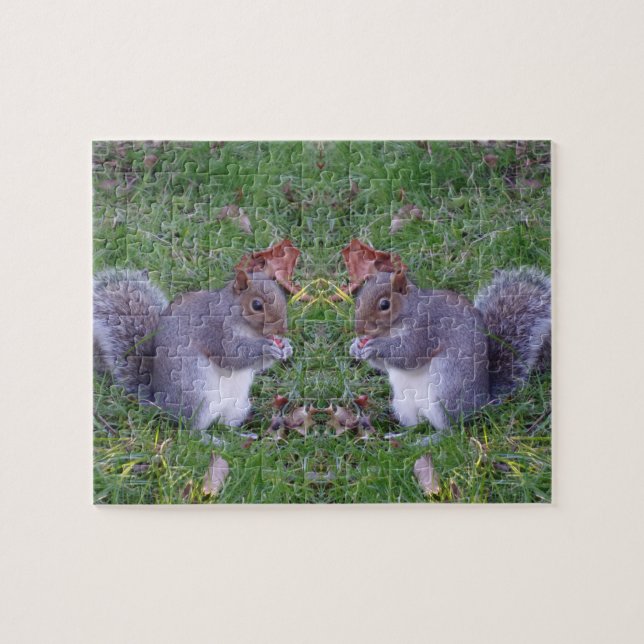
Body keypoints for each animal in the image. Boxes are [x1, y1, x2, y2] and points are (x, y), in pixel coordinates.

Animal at [93, 268, 293, 429]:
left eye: (282, 296)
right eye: (257, 305)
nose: (282, 329)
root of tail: (160, 403)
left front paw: (287, 346)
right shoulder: (213, 331)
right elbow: (231, 356)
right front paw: (266, 348)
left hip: (238, 405)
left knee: (225, 425)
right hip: (196, 398)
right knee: (192, 430)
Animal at [349, 267, 551, 431]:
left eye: (385, 305)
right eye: (358, 300)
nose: (359, 330)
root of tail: (482, 403)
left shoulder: (427, 329)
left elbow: (410, 354)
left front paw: (375, 347)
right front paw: (355, 346)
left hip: (447, 394)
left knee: (451, 430)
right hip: (403, 404)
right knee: (419, 425)